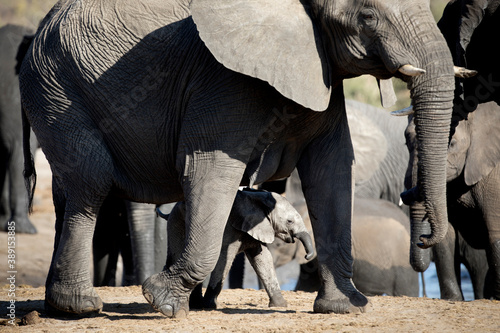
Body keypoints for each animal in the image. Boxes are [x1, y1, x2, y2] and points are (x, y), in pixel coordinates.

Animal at [158, 189, 314, 308]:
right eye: (289, 221)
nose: (307, 256)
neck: (258, 198)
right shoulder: (230, 229)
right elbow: (224, 258)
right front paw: (209, 306)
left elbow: (263, 258)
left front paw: (280, 306)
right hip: (176, 222)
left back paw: (194, 304)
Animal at [404, 100, 498, 298]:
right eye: (406, 141)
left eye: (453, 144)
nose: (422, 239)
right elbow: (446, 238)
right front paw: (452, 299)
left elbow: (494, 230)